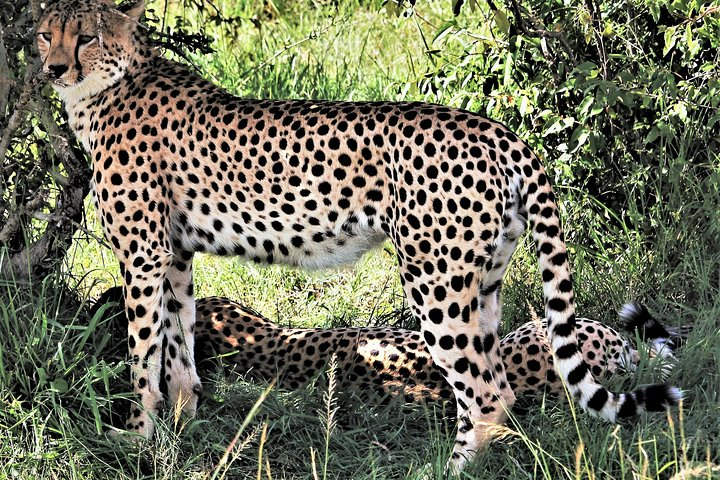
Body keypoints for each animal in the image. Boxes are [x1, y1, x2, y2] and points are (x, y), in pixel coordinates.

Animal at [37, 0, 681, 471]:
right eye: (46, 35)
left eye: (86, 37)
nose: (53, 69)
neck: (107, 88)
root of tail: (500, 131)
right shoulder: (174, 254)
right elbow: (178, 347)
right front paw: (182, 425)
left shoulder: (143, 255)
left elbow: (143, 354)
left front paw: (139, 437)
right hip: (484, 283)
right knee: (499, 385)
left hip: (435, 280)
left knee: (486, 394)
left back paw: (449, 472)